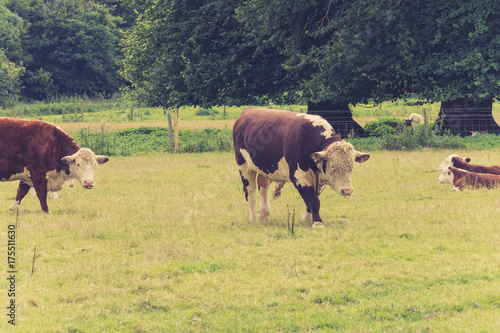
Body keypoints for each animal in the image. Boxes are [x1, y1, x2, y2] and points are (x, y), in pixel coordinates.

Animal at [232, 107, 370, 227]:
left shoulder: (319, 180)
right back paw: (254, 219)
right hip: (244, 167)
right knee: (250, 192)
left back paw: (264, 215)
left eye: (352, 167)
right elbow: (313, 200)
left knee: (263, 187)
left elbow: (313, 199)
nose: (347, 190)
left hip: (265, 169)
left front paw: (307, 220)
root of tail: (248, 111)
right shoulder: (299, 177)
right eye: (332, 166)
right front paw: (318, 223)